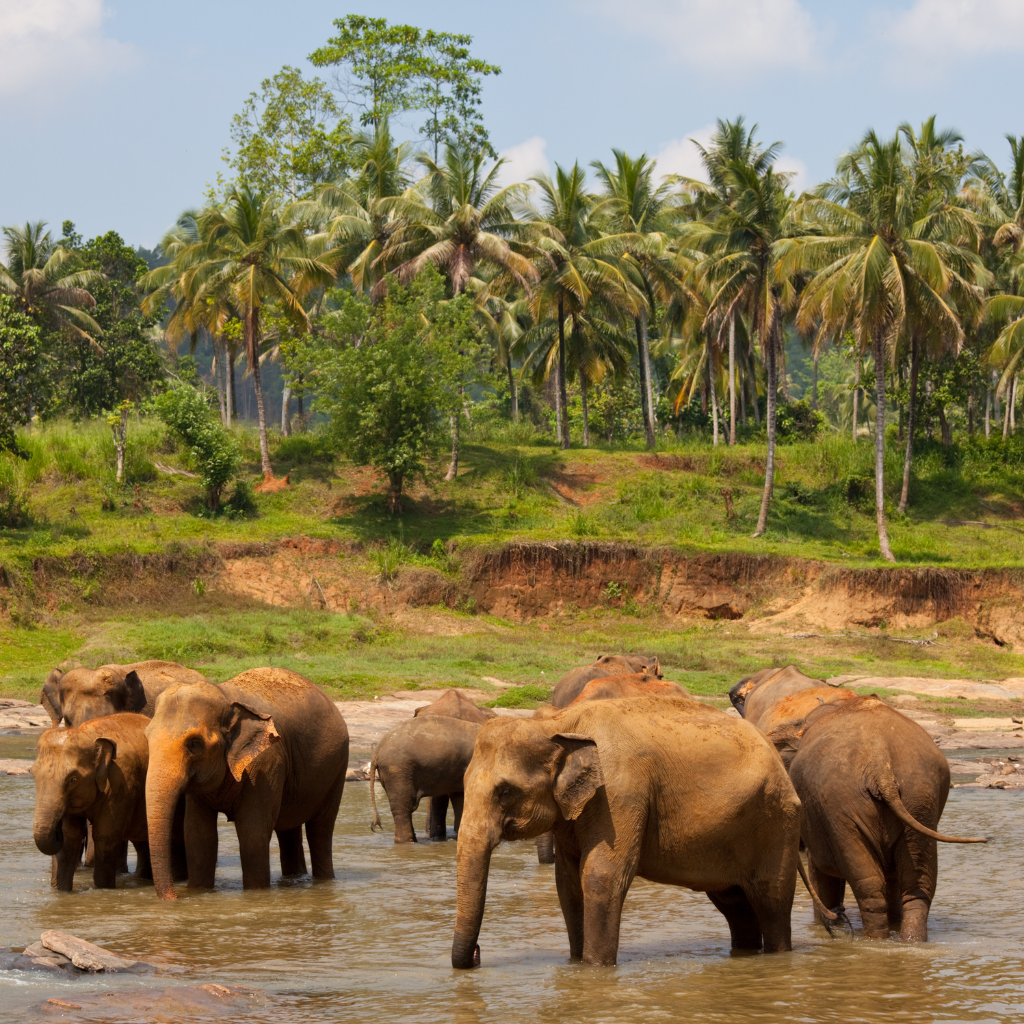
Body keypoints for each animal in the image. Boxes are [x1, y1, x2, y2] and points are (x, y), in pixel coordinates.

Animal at [33, 712, 188, 888]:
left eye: (72, 779)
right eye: (33, 773)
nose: (56, 827)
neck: (89, 734)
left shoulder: (121, 783)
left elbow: (105, 836)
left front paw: (103, 888)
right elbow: (69, 838)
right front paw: (60, 891)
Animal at [142, 667, 352, 901]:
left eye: (194, 744)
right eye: (147, 738)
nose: (173, 898)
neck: (224, 694)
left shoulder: (266, 763)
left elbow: (252, 831)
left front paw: (255, 895)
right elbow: (198, 835)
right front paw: (199, 891)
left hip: (337, 769)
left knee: (321, 829)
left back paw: (324, 882)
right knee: (288, 830)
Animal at [452, 696, 802, 966]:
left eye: (505, 792)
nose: (477, 955)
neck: (559, 721)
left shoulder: (620, 793)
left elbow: (601, 875)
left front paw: (594, 969)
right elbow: (568, 884)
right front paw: (575, 964)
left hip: (776, 821)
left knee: (771, 902)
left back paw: (776, 956)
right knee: (735, 906)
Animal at [770, 692, 987, 937]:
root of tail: (881, 767)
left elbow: (821, 871)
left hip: (841, 806)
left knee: (869, 885)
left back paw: (874, 939)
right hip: (920, 799)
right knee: (917, 884)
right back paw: (909, 939)